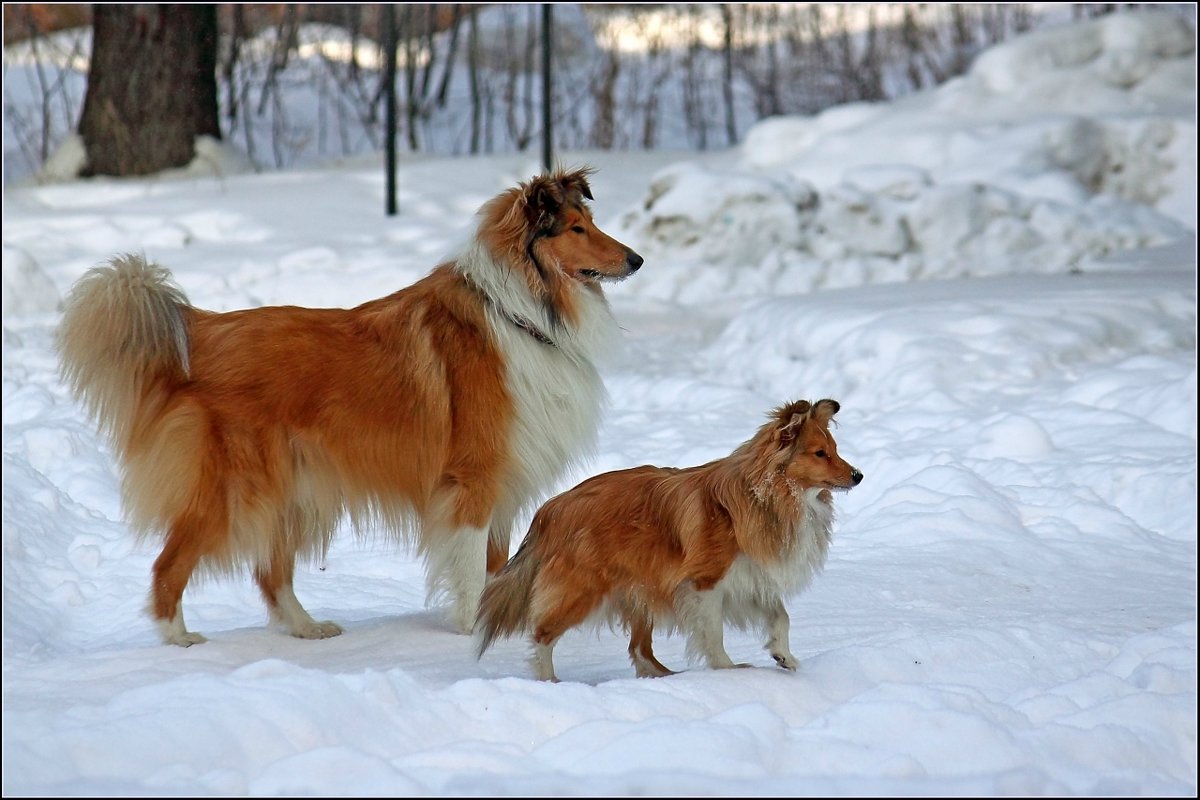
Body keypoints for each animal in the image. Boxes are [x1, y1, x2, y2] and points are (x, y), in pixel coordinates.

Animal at [56, 165, 643, 647]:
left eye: (590, 222)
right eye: (575, 229)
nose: (637, 259)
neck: (520, 312)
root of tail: (199, 331)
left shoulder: (499, 482)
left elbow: (491, 567)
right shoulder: (473, 481)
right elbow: (472, 566)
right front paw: (473, 627)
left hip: (294, 490)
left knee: (270, 574)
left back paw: (307, 627)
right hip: (237, 488)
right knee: (168, 565)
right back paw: (179, 640)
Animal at [472, 400, 859, 681]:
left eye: (834, 448)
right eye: (820, 453)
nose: (859, 475)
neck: (765, 495)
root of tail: (551, 509)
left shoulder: (747, 579)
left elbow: (781, 615)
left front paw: (784, 655)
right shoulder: (705, 583)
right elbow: (713, 633)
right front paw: (728, 671)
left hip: (639, 590)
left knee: (638, 649)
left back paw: (666, 677)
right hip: (583, 590)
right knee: (542, 635)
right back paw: (549, 681)